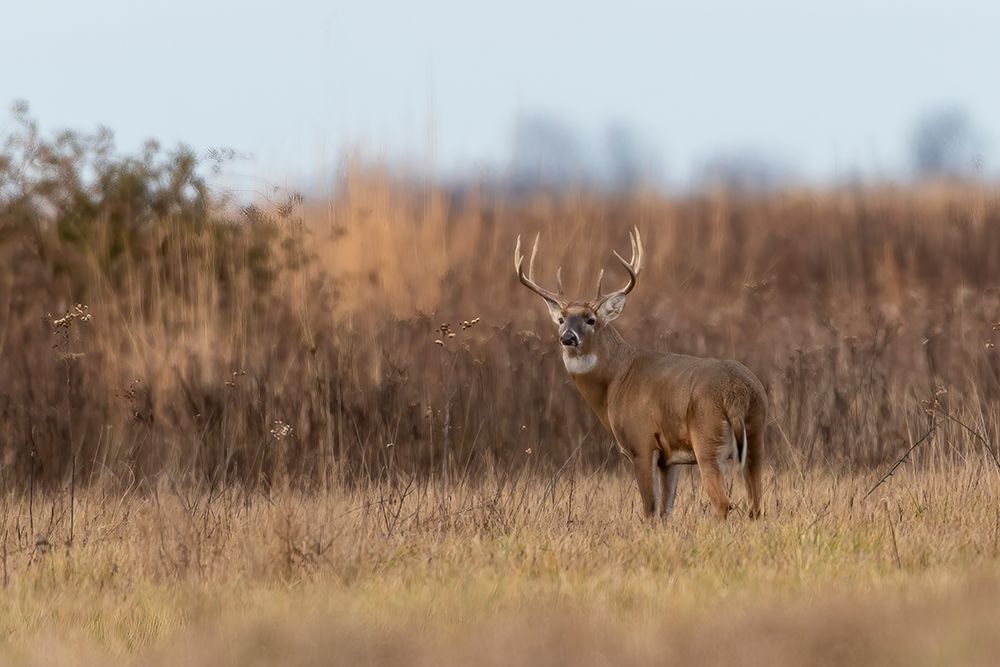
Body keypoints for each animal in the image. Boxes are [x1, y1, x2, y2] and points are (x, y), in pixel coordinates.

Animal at [513, 228, 766, 520]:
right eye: (561, 319)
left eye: (591, 319)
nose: (567, 338)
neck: (616, 381)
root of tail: (736, 392)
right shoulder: (669, 458)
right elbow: (666, 510)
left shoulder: (641, 443)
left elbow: (650, 510)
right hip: (756, 435)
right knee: (756, 504)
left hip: (707, 440)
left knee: (724, 503)